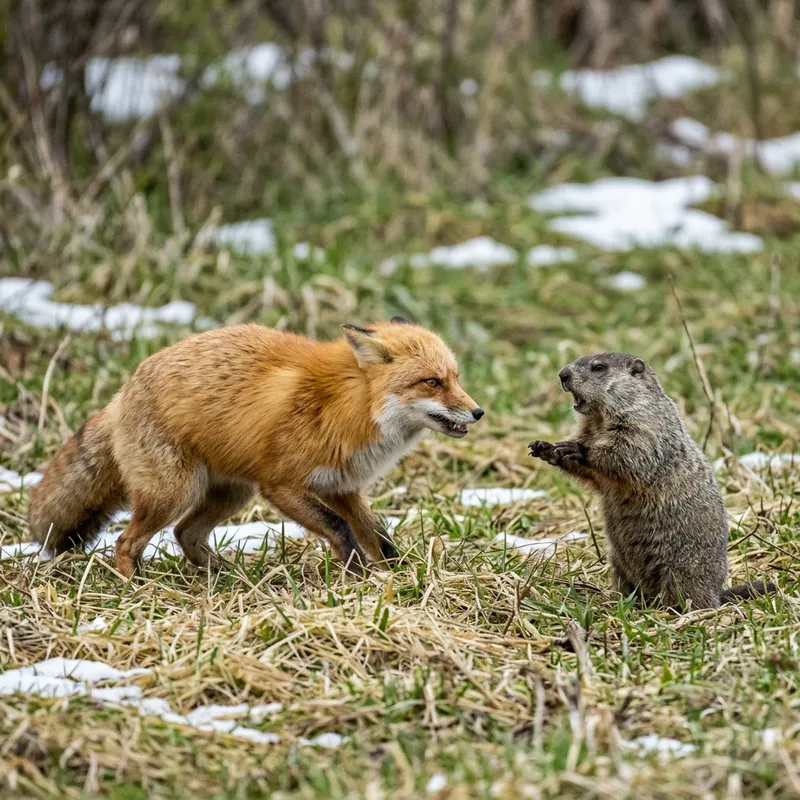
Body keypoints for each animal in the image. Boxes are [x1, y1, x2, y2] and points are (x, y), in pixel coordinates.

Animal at [28, 316, 484, 578]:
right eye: (432, 382)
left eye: (456, 378)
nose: (478, 412)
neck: (347, 404)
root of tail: (119, 394)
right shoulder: (280, 485)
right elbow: (340, 530)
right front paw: (358, 581)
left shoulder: (342, 486)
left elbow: (378, 536)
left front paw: (403, 577)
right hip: (176, 492)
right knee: (126, 541)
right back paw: (133, 589)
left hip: (229, 494)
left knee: (184, 534)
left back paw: (222, 575)